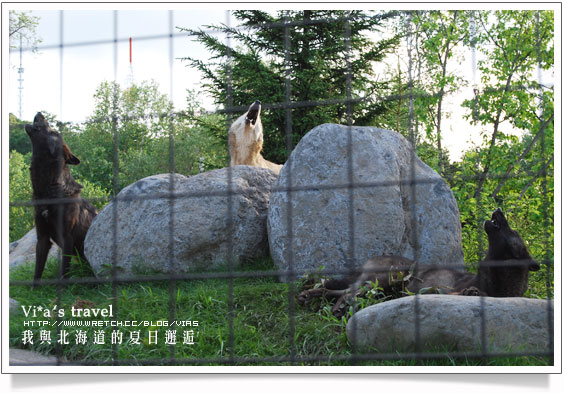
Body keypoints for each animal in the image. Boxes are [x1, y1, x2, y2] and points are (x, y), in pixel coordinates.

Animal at [24, 112, 98, 284]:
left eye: (54, 132)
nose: (40, 113)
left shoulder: (67, 238)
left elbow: (64, 270)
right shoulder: (42, 238)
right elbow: (37, 271)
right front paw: (34, 289)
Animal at [298, 207, 540, 316]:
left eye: (513, 231)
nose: (498, 209)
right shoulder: (439, 289)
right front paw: (472, 292)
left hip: (377, 288)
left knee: (338, 291)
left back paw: (311, 296)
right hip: (386, 278)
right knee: (346, 293)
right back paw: (333, 307)